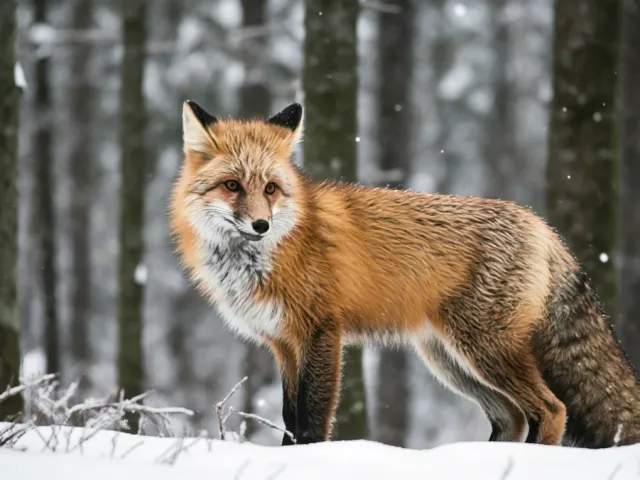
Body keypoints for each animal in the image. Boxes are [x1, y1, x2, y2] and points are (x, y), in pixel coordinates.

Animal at [169, 100, 640, 448]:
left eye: (270, 188)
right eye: (232, 186)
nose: (261, 225)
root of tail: (542, 224)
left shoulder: (320, 333)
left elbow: (310, 420)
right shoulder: (282, 343)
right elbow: (288, 416)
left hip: (486, 349)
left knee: (551, 409)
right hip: (449, 360)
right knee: (511, 416)